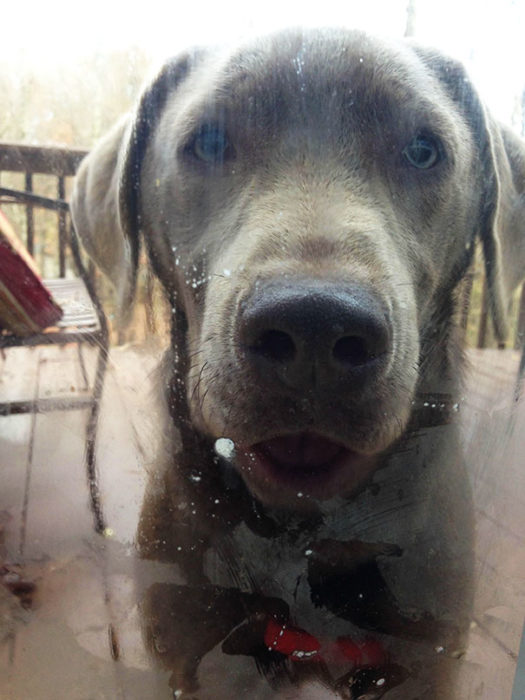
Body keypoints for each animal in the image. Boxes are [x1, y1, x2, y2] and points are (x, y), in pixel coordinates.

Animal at [70, 28, 524, 700]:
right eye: (209, 141)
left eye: (423, 151)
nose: (316, 327)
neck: (304, 541)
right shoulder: (191, 656)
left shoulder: (424, 660)